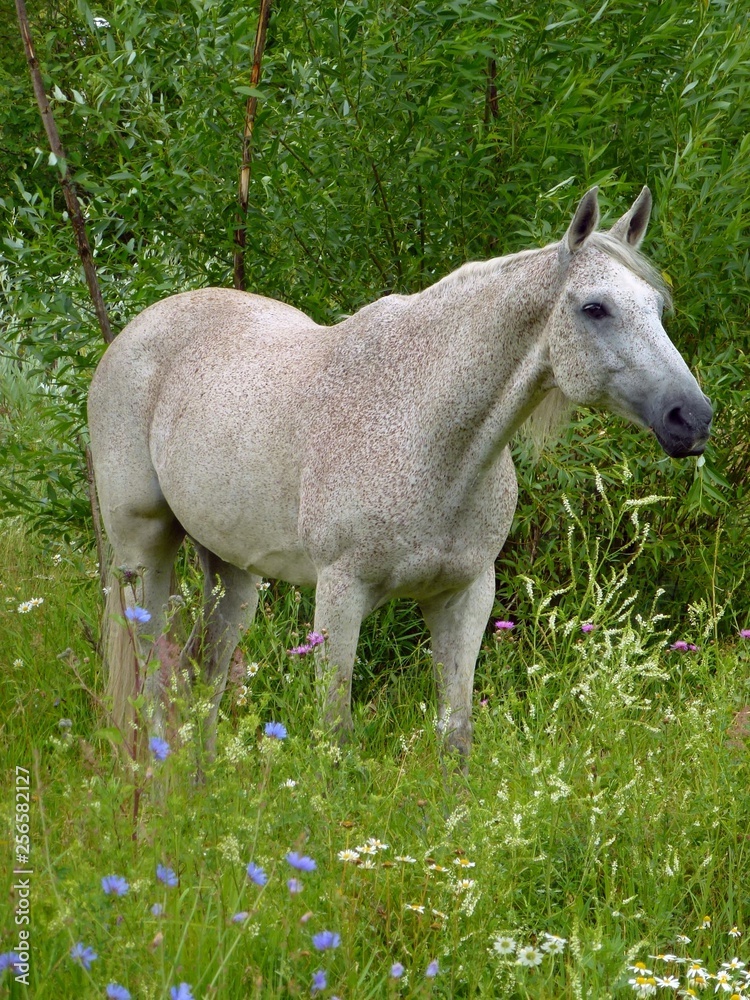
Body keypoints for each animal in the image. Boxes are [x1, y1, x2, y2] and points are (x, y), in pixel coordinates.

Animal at [88, 186, 712, 757]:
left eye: (656, 308)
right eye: (594, 308)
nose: (692, 417)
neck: (429, 436)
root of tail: (135, 333)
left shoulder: (465, 596)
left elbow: (455, 737)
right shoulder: (341, 595)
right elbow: (336, 736)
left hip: (234, 571)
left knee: (200, 676)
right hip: (144, 550)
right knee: (150, 677)